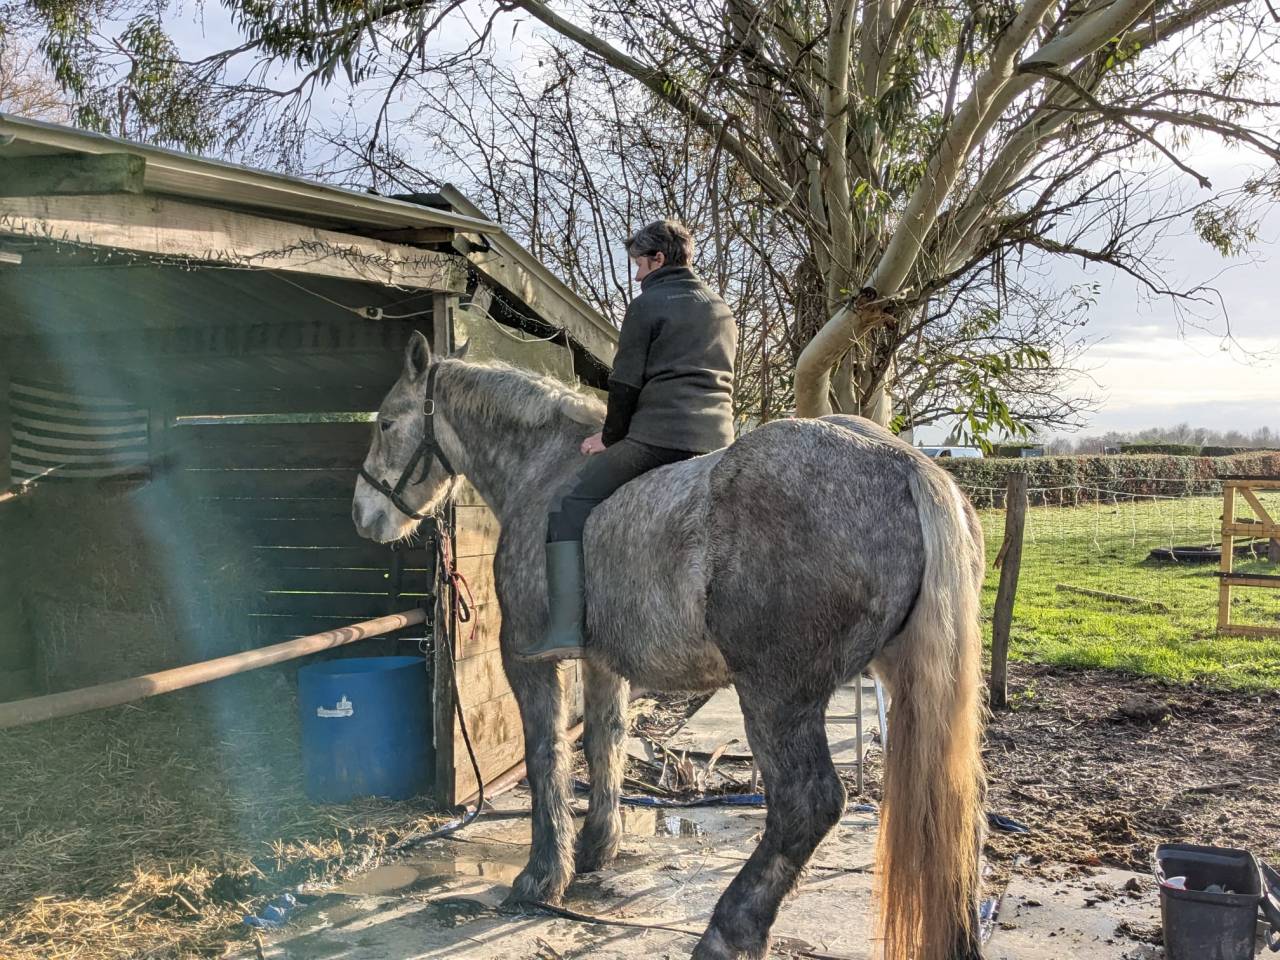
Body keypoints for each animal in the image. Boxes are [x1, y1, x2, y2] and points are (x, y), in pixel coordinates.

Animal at [352, 331, 988, 960]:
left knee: (807, 805)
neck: (546, 468)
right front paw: (595, 848)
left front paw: (542, 875)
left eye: (385, 422)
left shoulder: (529, 660)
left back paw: (728, 930)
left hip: (777, 696)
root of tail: (905, 464)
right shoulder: (602, 663)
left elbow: (546, 755)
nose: (363, 514)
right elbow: (605, 741)